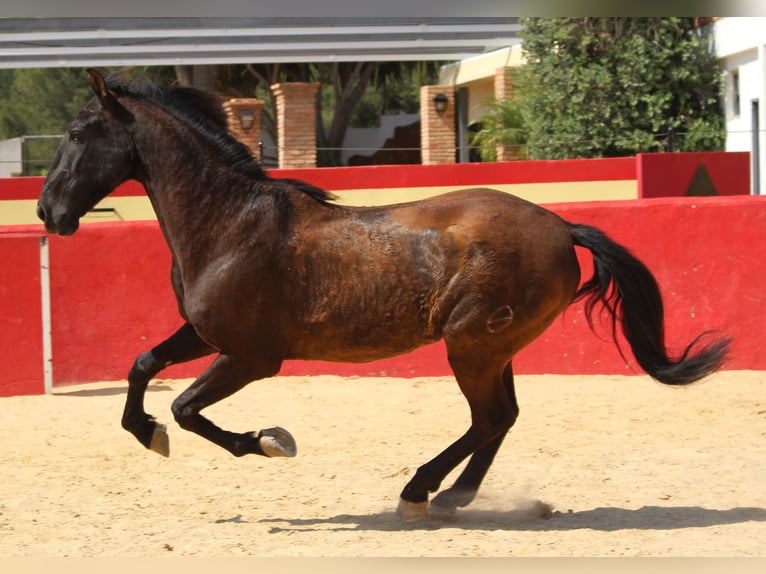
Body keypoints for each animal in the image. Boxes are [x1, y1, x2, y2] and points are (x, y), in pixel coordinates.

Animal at [36, 70, 732, 524]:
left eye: (77, 130)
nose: (47, 212)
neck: (230, 223)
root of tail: (563, 226)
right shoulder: (205, 334)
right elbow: (141, 368)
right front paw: (147, 433)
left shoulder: (253, 357)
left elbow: (185, 408)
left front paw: (269, 440)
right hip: (492, 348)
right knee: (502, 417)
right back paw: (452, 498)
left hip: (470, 345)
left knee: (490, 418)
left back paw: (421, 492)